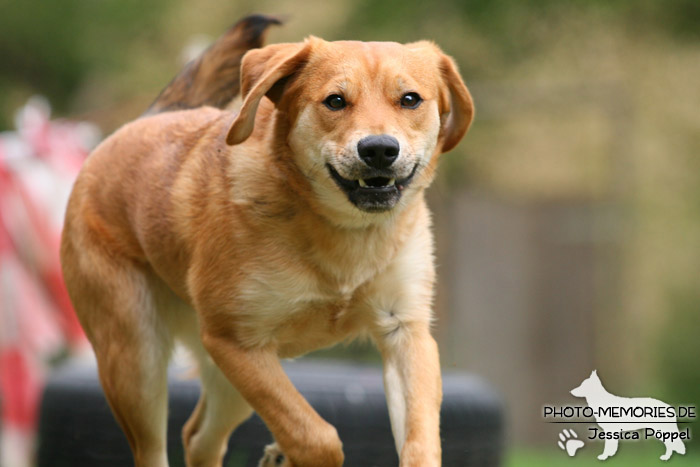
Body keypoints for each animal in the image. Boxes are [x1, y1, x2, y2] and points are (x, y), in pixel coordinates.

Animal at [61, 13, 476, 467]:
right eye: (335, 101)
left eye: (410, 99)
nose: (380, 149)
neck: (344, 233)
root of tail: (140, 122)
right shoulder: (237, 342)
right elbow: (315, 436)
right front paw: (296, 454)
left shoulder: (405, 331)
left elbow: (420, 441)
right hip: (138, 360)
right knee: (155, 447)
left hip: (226, 382)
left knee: (198, 437)